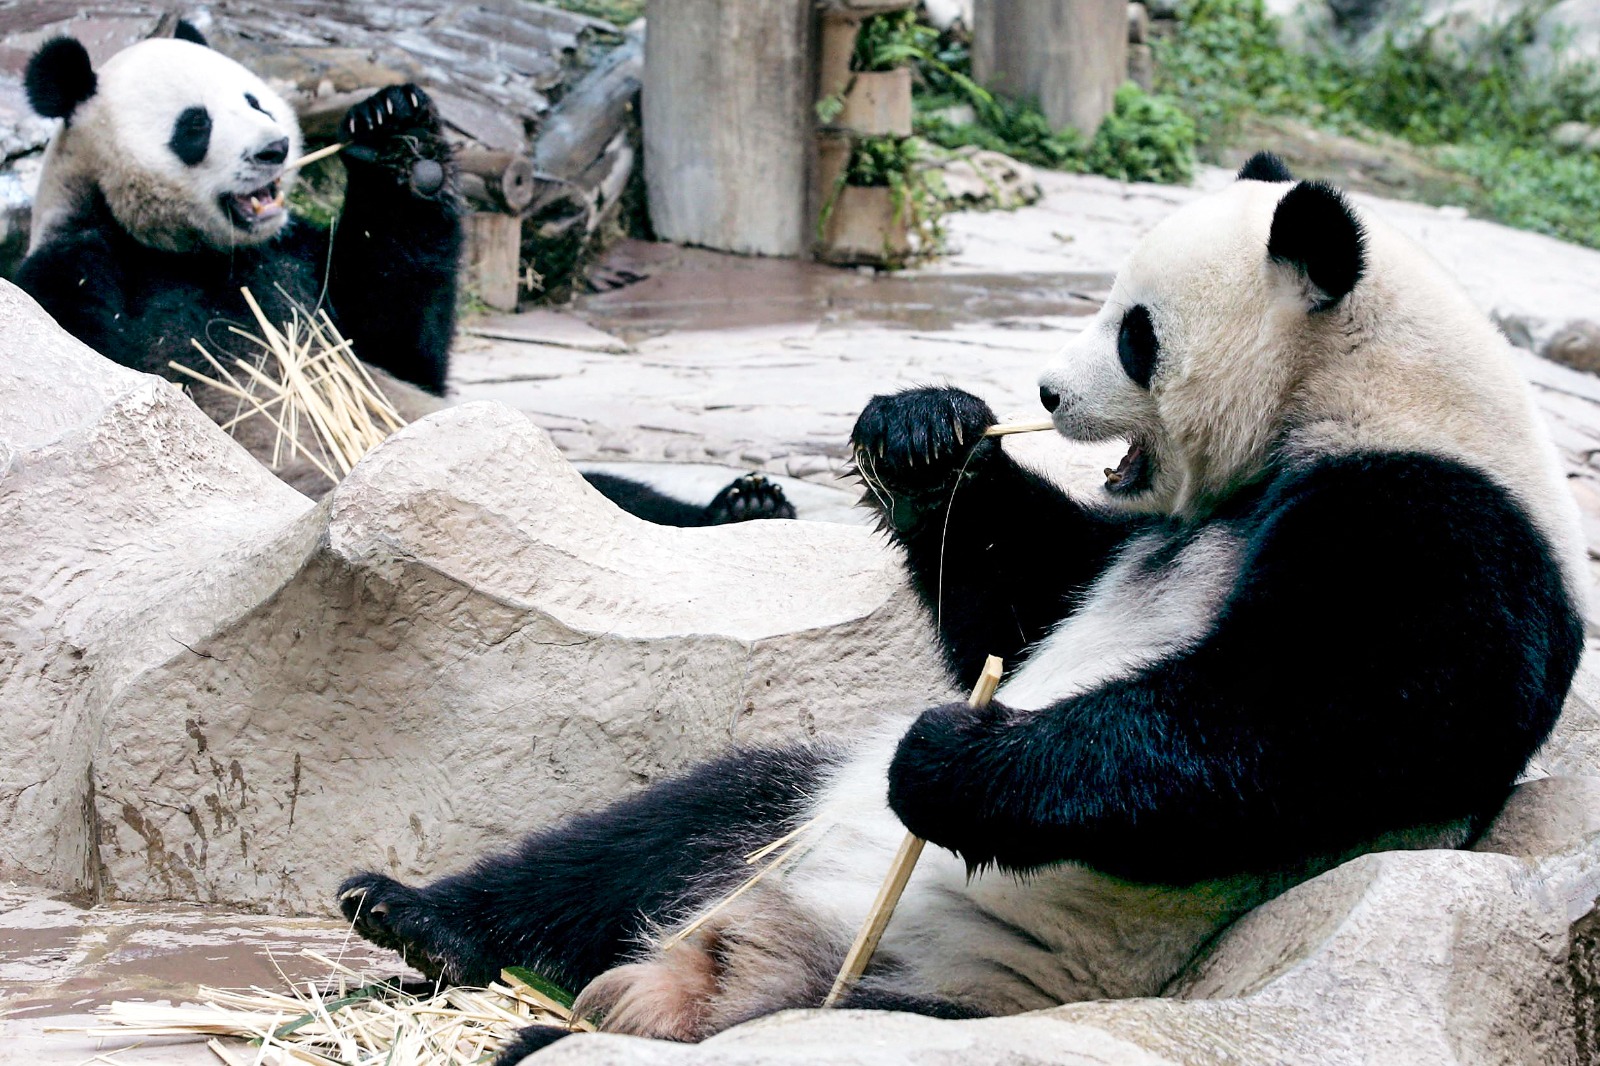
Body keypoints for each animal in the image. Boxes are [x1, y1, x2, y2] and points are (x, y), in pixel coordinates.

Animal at [13, 30, 794, 528]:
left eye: (254, 100)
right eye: (195, 124)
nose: (273, 150)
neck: (195, 250)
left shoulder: (300, 265)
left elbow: (399, 341)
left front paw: (399, 138)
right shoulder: (81, 266)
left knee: (612, 501)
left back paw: (745, 506)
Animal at [338, 153, 1581, 1057]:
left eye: (1133, 329)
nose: (1044, 391)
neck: (1363, 385)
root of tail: (728, 968)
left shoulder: (1440, 519)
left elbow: (1317, 717)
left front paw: (958, 762)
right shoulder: (1140, 535)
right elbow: (1022, 600)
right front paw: (923, 435)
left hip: (928, 986)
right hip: (781, 823)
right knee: (645, 833)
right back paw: (415, 914)